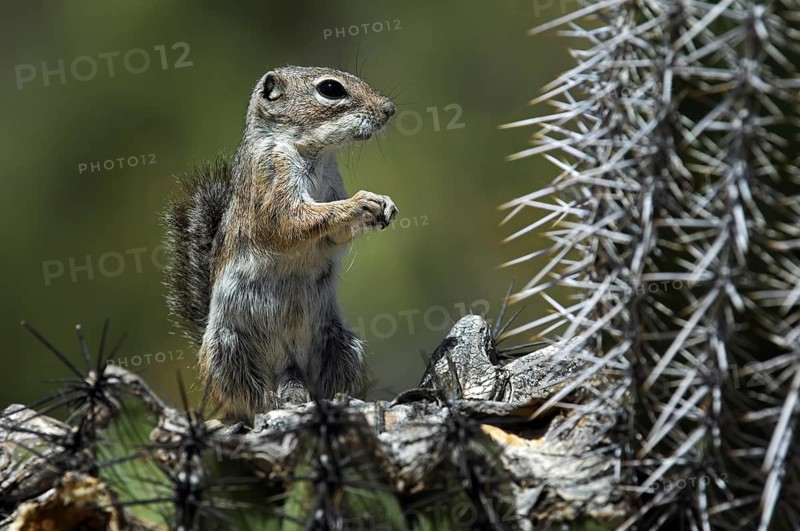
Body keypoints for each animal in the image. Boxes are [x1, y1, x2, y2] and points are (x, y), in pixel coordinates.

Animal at [163, 65, 398, 421]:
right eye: (331, 89)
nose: (389, 109)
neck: (313, 153)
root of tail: (288, 369)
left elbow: (334, 235)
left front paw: (383, 204)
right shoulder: (272, 180)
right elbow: (294, 221)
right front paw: (361, 202)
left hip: (342, 346)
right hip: (228, 350)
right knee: (245, 398)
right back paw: (264, 406)